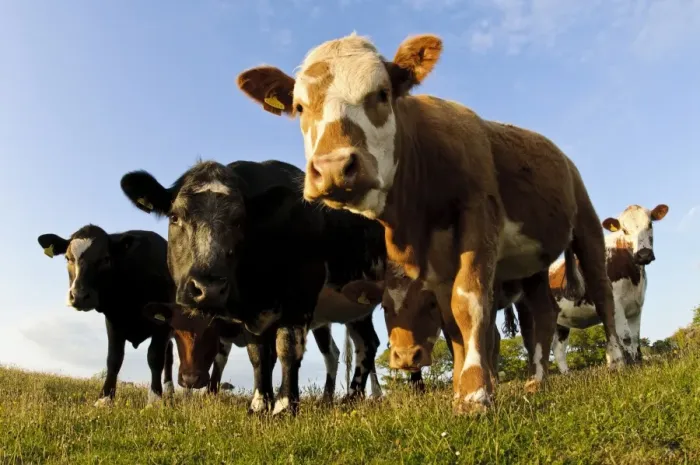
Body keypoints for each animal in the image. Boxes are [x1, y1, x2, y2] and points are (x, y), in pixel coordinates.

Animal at [37, 225, 175, 406]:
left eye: (105, 259)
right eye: (68, 258)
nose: (79, 296)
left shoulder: (163, 322)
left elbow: (155, 357)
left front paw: (155, 399)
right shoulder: (113, 320)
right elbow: (114, 359)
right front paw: (105, 398)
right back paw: (170, 392)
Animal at [119, 159, 388, 416]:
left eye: (240, 221)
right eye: (175, 217)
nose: (208, 288)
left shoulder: (301, 294)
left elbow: (287, 348)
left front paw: (284, 406)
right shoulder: (251, 313)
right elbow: (258, 355)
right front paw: (259, 404)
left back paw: (353, 397)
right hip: (356, 306)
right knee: (367, 343)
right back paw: (348, 398)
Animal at [235, 32, 625, 415]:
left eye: (382, 93)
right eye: (300, 108)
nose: (332, 168)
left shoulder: (478, 216)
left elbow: (468, 301)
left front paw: (475, 394)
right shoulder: (434, 260)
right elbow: (452, 323)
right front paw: (460, 389)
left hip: (586, 223)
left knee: (601, 290)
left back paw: (617, 361)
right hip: (532, 264)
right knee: (543, 313)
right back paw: (537, 380)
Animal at [549, 204, 669, 373]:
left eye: (650, 224)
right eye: (624, 230)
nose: (644, 254)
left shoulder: (637, 306)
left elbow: (635, 337)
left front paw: (637, 365)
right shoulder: (615, 304)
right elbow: (625, 337)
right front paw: (628, 368)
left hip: (561, 323)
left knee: (558, 348)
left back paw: (568, 375)